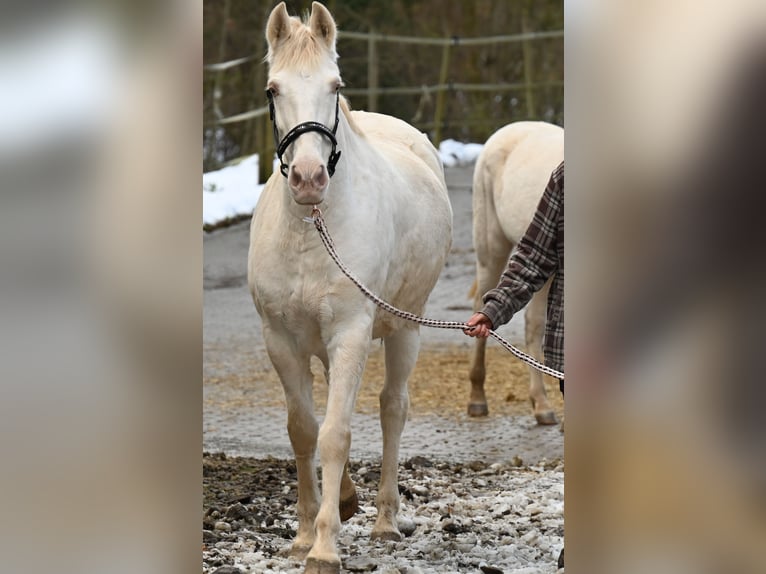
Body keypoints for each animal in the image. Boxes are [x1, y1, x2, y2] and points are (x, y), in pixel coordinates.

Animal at [249, 5, 452, 574]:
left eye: (335, 86)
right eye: (272, 89)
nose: (308, 178)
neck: (312, 227)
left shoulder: (351, 335)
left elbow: (336, 433)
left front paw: (324, 548)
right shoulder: (280, 340)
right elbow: (303, 430)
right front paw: (303, 534)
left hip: (405, 329)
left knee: (391, 409)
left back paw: (384, 520)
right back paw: (346, 502)